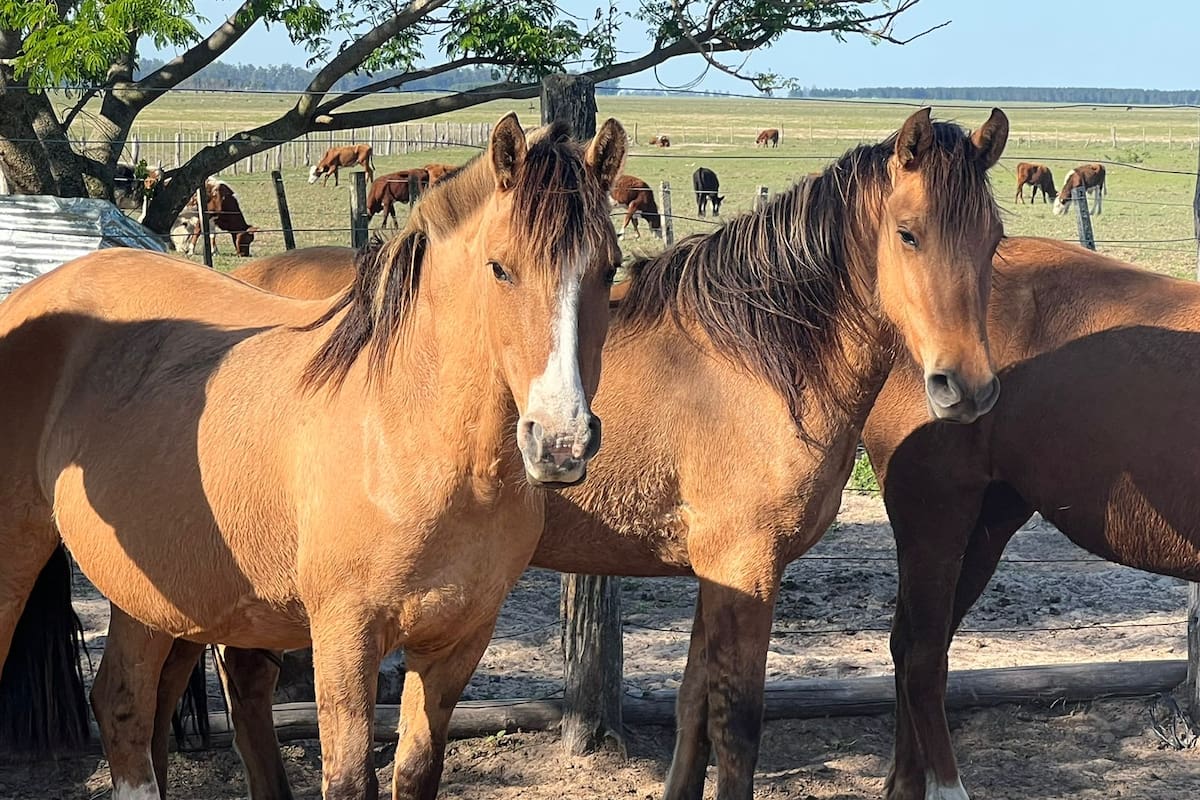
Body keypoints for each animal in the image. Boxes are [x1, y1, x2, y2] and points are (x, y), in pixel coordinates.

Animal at [0, 113, 629, 800]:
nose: (561, 441)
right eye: (500, 268)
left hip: (155, 590)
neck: (410, 438)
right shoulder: (344, 638)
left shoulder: (457, 644)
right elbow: (349, 778)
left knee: (128, 705)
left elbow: (416, 771)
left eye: (609, 269)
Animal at [137, 107, 1010, 800]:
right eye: (908, 233)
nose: (965, 385)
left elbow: (693, 704)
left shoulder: (716, 572)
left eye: (995, 239)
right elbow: (736, 722)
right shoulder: (747, 566)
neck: (753, 358)